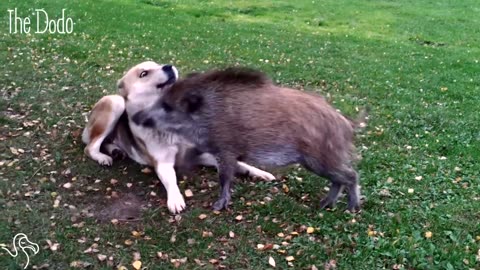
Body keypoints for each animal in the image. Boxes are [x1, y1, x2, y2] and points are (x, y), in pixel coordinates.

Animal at [82, 62, 274, 214]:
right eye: (144, 73)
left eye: (158, 63)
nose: (168, 65)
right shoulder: (163, 163)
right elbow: (171, 179)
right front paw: (175, 199)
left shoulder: (203, 155)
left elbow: (240, 164)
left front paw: (259, 172)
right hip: (116, 103)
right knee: (90, 146)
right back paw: (102, 157)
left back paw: (115, 150)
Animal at [133, 67, 366, 211]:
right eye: (161, 100)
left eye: (167, 106)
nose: (135, 117)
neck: (208, 115)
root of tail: (346, 123)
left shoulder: (226, 150)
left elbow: (225, 177)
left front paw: (218, 206)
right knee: (340, 179)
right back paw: (325, 204)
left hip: (319, 159)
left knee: (350, 175)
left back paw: (351, 209)